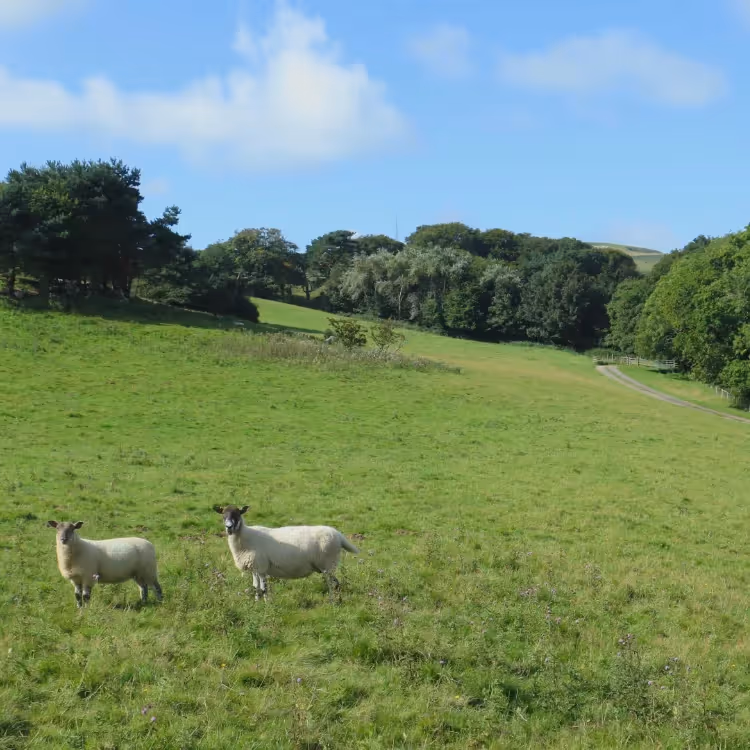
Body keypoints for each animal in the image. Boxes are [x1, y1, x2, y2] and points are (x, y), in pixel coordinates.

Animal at [212, 505, 359, 600]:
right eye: (223, 515)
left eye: (237, 514)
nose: (229, 527)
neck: (245, 537)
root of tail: (338, 534)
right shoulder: (254, 568)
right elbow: (256, 588)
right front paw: (257, 604)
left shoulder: (261, 567)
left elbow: (264, 589)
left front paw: (267, 606)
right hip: (326, 566)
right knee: (336, 583)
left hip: (327, 564)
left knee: (332, 584)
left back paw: (332, 601)